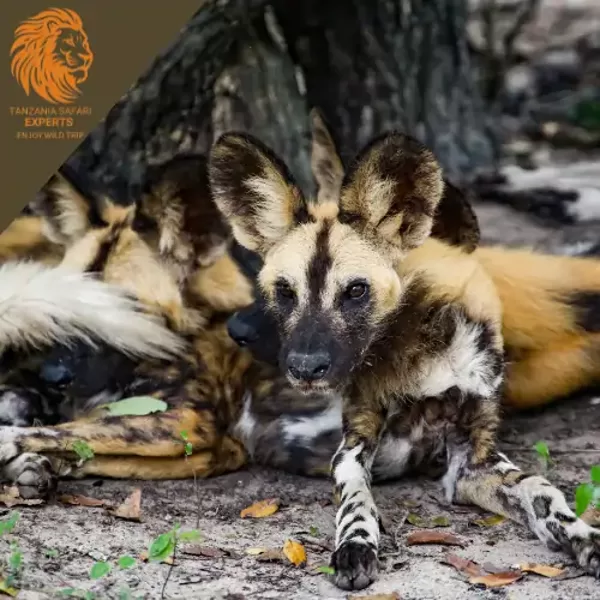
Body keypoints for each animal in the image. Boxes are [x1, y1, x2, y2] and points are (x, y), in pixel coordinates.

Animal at [209, 124, 600, 588]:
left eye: (356, 290)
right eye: (285, 291)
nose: (304, 367)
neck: (418, 358)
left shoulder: (473, 460)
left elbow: (541, 489)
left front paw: (584, 537)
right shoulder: (355, 443)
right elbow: (355, 500)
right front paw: (356, 546)